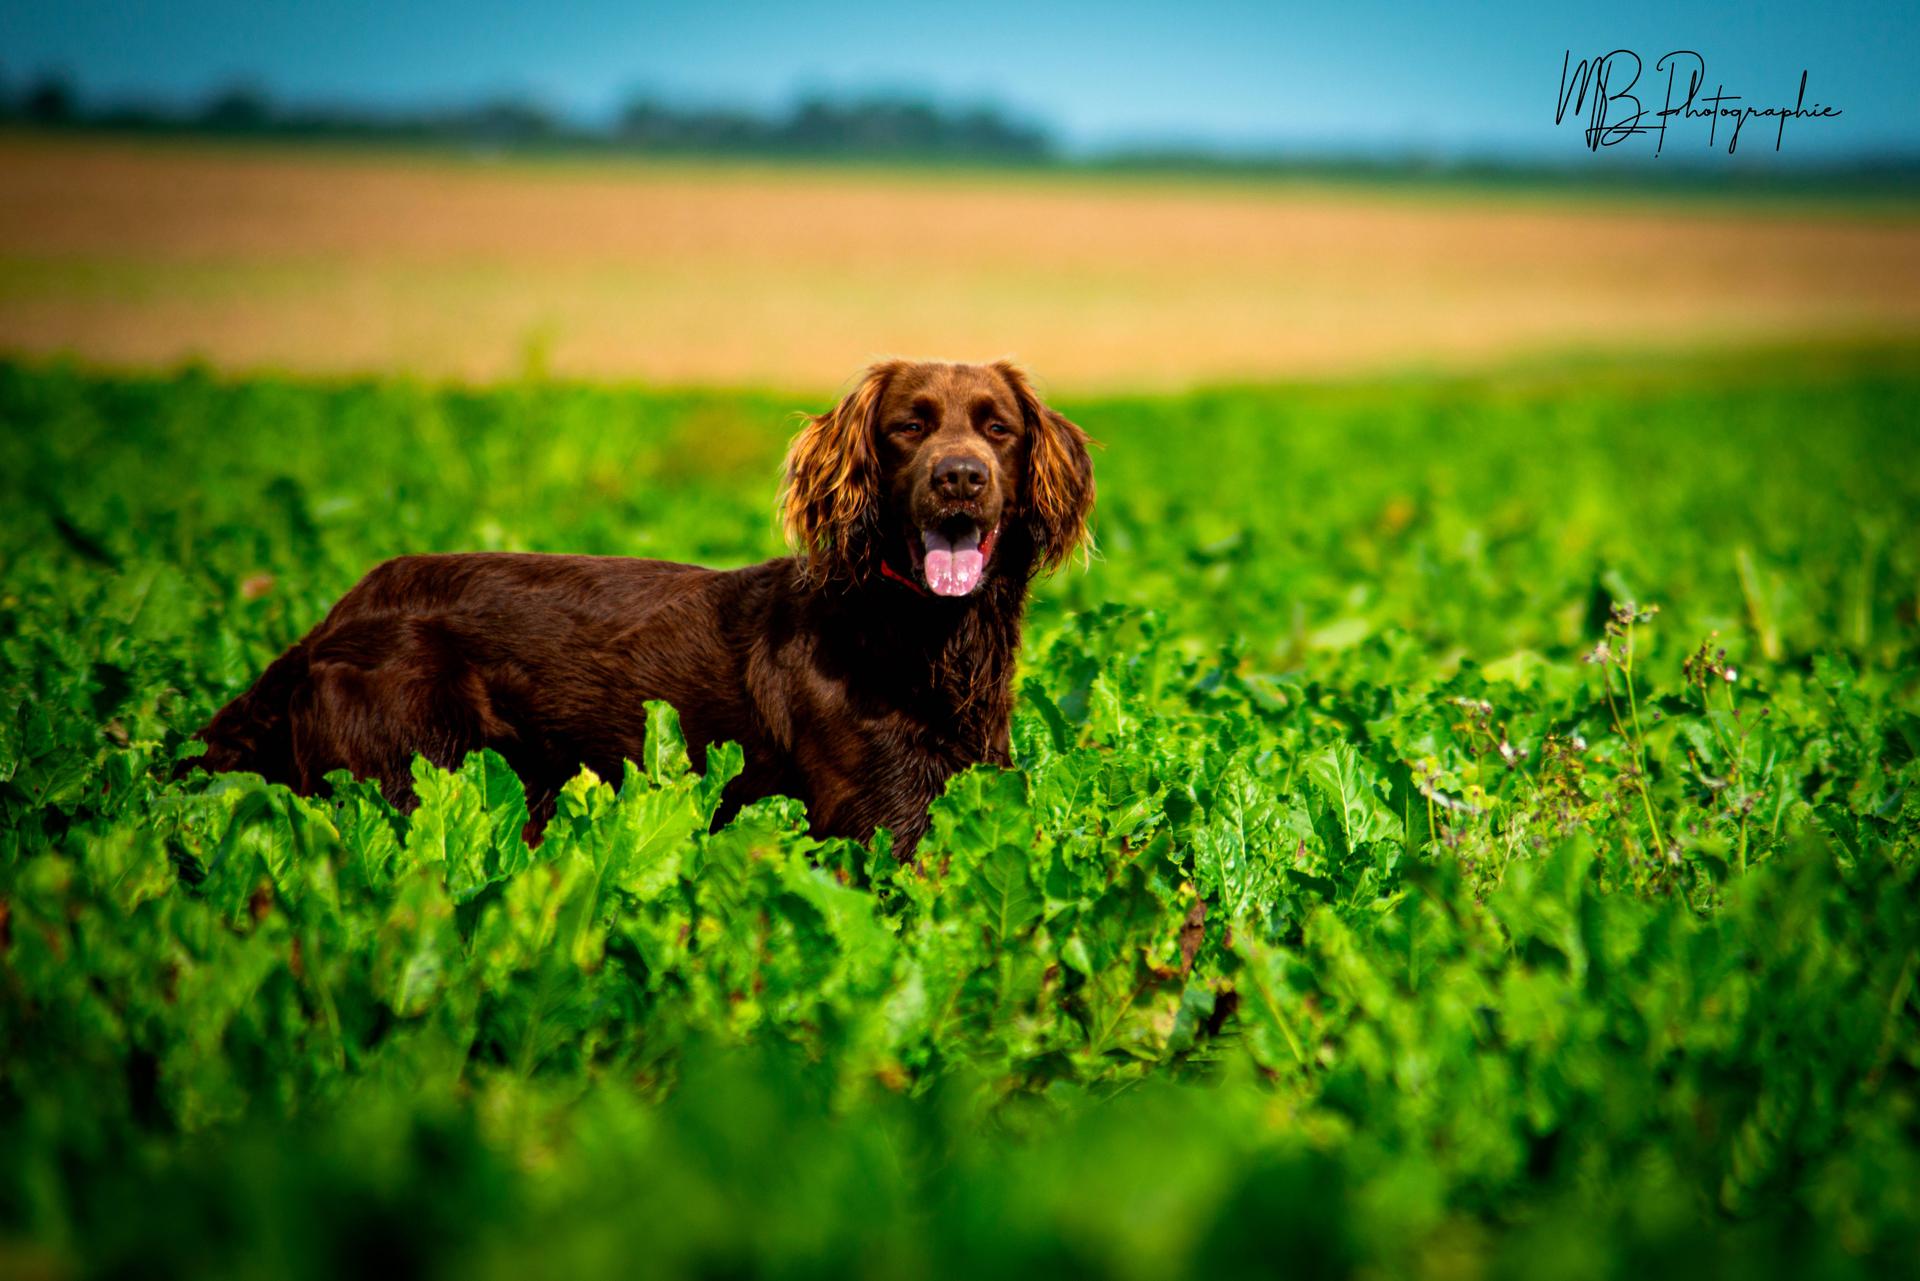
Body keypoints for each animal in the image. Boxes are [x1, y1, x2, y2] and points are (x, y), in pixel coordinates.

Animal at [198, 361, 1098, 852]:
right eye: (909, 426)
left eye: (1000, 428)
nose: (960, 478)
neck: (919, 636)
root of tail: (328, 622)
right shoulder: (877, 820)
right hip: (406, 776)